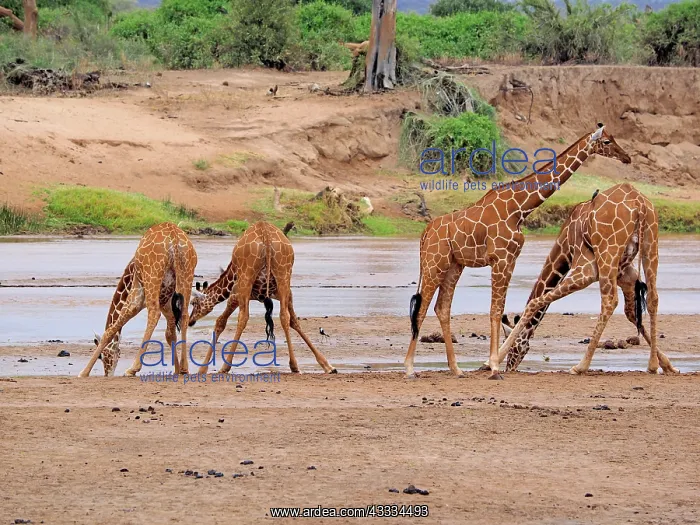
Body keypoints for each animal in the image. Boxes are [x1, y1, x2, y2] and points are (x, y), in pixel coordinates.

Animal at [78, 222, 197, 377]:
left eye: (102, 356)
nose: (108, 374)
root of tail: (174, 238)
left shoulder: (138, 293)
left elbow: (110, 330)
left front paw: (84, 372)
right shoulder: (166, 302)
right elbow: (170, 334)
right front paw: (177, 369)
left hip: (152, 277)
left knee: (154, 314)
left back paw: (132, 368)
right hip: (186, 276)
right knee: (184, 315)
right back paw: (184, 368)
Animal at [188, 221, 336, 375]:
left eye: (193, 303)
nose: (190, 321)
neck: (230, 277)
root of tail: (266, 235)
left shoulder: (235, 295)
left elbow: (220, 322)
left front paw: (202, 368)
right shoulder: (285, 294)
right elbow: (294, 321)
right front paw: (327, 365)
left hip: (247, 279)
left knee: (243, 317)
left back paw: (225, 366)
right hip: (284, 275)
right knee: (284, 317)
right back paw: (294, 365)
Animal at [405, 123, 632, 379]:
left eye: (614, 138)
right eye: (607, 142)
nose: (627, 157)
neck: (520, 208)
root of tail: (425, 233)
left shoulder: (510, 259)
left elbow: (498, 309)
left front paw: (492, 365)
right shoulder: (500, 258)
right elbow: (495, 311)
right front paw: (494, 368)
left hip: (454, 265)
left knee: (441, 308)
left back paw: (456, 369)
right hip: (435, 263)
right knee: (421, 308)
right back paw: (410, 368)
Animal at [495, 183, 678, 375]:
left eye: (512, 344)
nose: (509, 368)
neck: (566, 246)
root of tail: (639, 203)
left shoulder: (585, 270)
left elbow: (534, 302)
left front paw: (494, 359)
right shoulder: (626, 275)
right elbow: (631, 313)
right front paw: (666, 364)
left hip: (608, 255)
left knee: (609, 301)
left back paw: (580, 366)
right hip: (650, 245)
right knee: (652, 299)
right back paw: (652, 365)